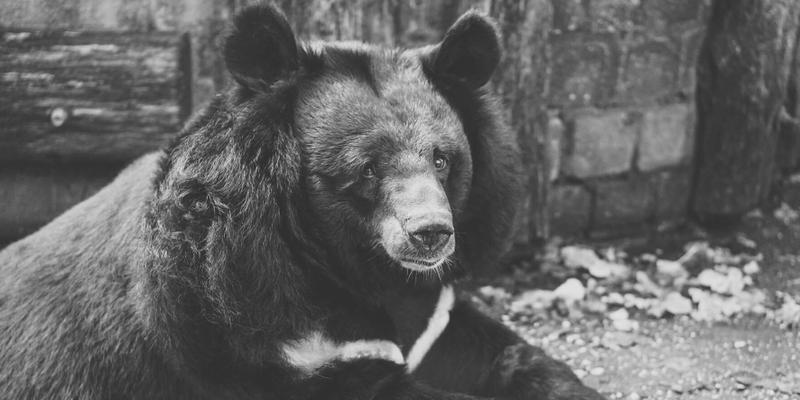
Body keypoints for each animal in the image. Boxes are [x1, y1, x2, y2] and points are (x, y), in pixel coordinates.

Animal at [0, 3, 600, 400]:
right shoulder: (248, 335)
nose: (430, 233)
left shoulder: (435, 315)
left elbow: (499, 350)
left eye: (442, 159)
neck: (351, 264)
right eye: (367, 167)